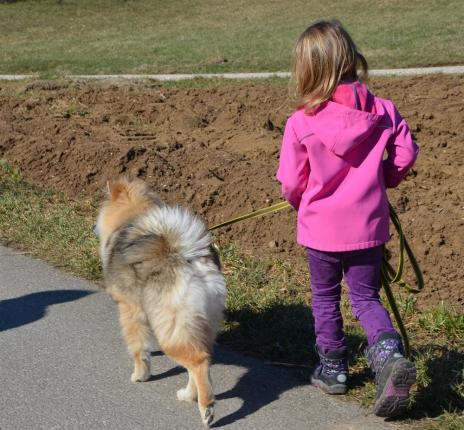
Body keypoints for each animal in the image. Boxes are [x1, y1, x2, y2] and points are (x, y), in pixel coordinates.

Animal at [95, 179, 226, 426]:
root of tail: (188, 257)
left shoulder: (130, 310)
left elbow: (138, 349)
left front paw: (140, 375)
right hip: (201, 325)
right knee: (201, 361)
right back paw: (188, 395)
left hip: (172, 329)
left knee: (199, 362)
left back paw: (206, 409)